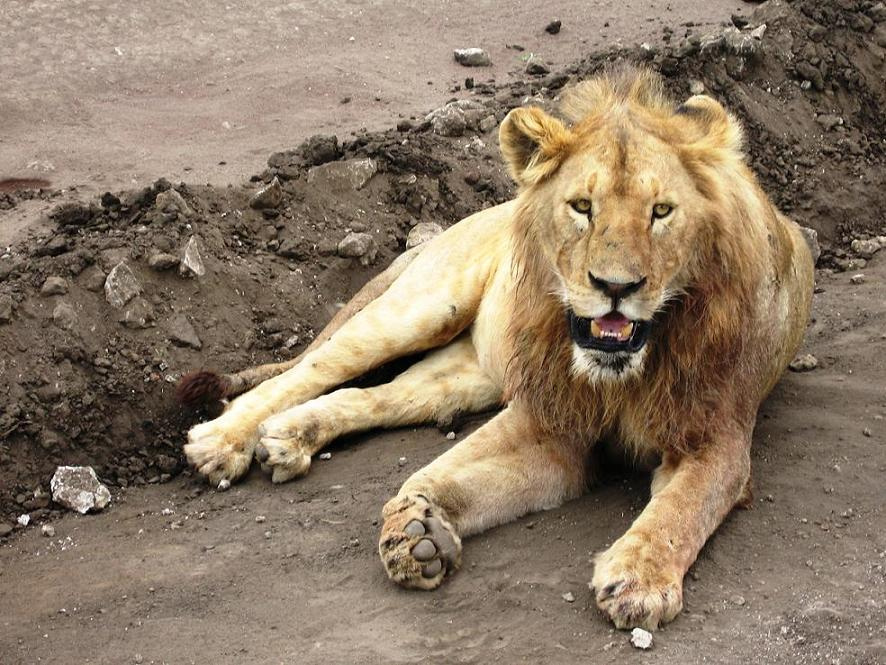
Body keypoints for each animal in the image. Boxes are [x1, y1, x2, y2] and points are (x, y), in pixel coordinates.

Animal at [179, 66, 814, 630]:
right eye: (582, 207)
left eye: (661, 212)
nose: (615, 286)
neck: (621, 372)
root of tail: (479, 213)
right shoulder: (548, 420)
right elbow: (446, 469)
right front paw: (415, 523)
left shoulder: (714, 439)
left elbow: (680, 512)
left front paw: (639, 579)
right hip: (425, 310)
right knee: (310, 369)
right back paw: (222, 441)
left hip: (467, 375)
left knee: (372, 396)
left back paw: (290, 437)